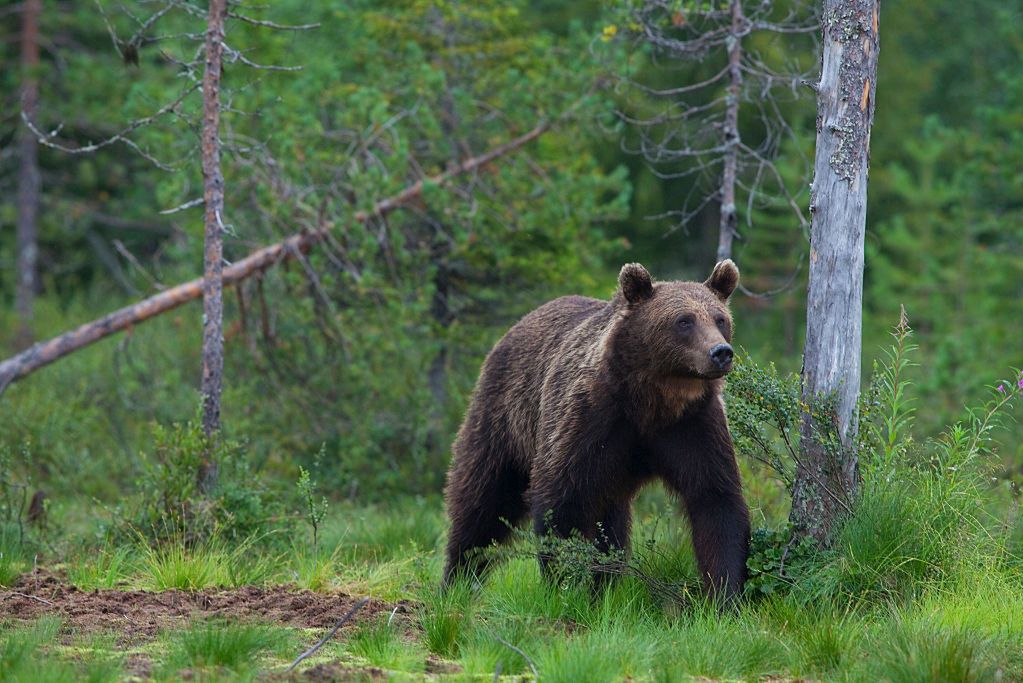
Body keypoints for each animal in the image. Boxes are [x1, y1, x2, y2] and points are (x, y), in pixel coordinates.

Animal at [441, 258, 752, 601]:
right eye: (683, 321)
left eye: (720, 318)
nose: (721, 352)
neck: (652, 401)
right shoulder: (591, 419)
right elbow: (562, 500)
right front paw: (565, 585)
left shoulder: (691, 426)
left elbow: (715, 500)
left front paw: (724, 592)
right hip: (502, 418)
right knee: (483, 499)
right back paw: (457, 579)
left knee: (611, 522)